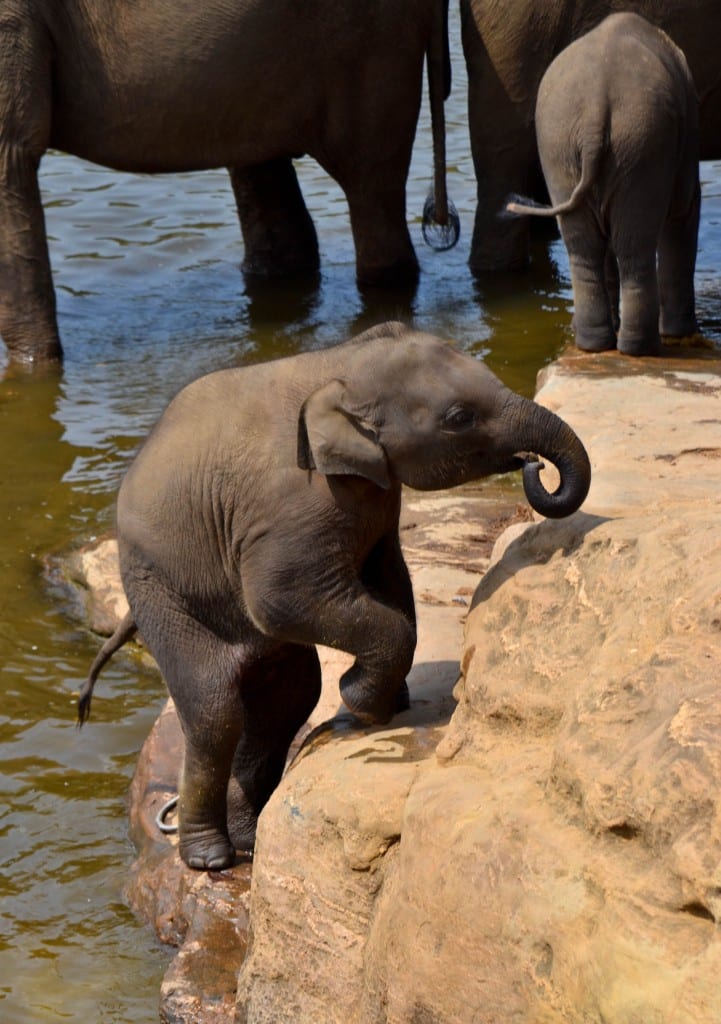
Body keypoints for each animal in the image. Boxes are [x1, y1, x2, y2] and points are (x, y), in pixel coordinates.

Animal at [77, 321, 591, 871]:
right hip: (163, 595)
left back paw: (249, 842)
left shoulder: (377, 495)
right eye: (459, 418)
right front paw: (363, 706)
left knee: (287, 700)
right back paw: (211, 858)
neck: (336, 365)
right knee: (215, 713)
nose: (533, 464)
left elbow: (390, 575)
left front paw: (389, 701)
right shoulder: (292, 501)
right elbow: (279, 597)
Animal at [505, 13, 700, 357]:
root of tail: (596, 108)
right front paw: (683, 336)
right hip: (641, 144)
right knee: (635, 246)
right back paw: (641, 349)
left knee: (583, 245)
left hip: (560, 145)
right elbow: (684, 211)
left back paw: (594, 344)